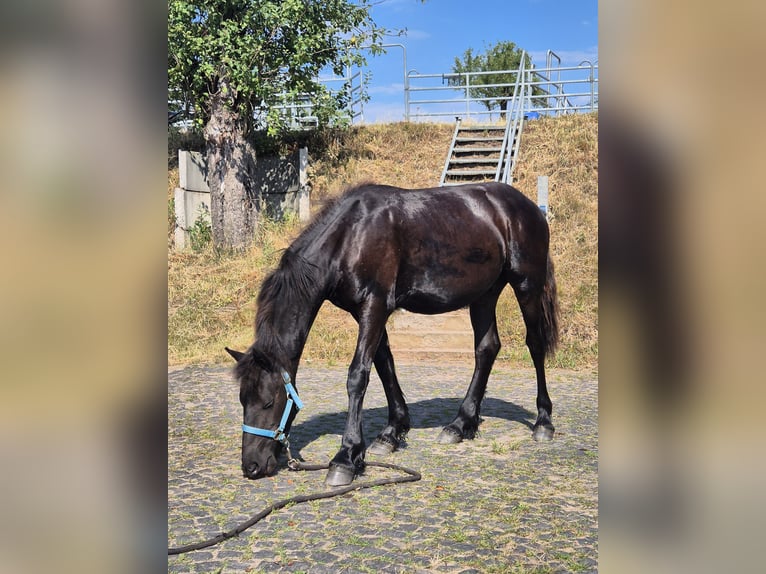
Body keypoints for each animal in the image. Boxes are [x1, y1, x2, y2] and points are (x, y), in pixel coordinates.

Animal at [225, 181, 560, 486]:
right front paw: (391, 433)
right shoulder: (365, 311)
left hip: (527, 285)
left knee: (535, 345)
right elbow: (384, 365)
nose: (252, 466)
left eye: (269, 402)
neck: (350, 236)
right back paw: (460, 424)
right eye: (242, 400)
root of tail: (528, 207)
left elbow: (358, 375)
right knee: (487, 348)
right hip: (484, 294)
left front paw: (346, 456)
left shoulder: (374, 306)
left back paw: (543, 422)